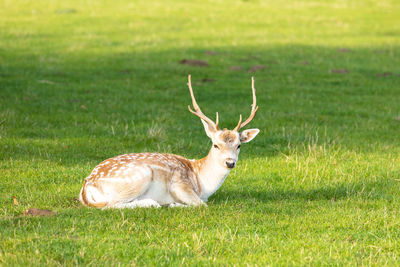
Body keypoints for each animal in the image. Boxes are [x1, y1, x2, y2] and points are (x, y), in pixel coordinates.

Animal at [79, 75, 260, 209]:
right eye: (216, 145)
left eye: (238, 145)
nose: (230, 162)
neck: (203, 185)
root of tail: (86, 188)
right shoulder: (179, 184)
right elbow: (201, 205)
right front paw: (173, 204)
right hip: (139, 176)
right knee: (110, 205)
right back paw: (155, 203)